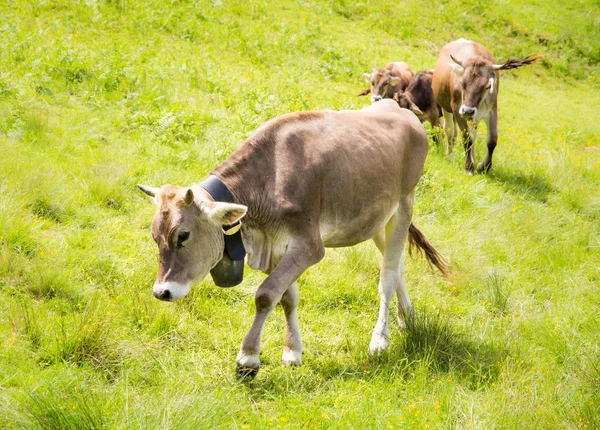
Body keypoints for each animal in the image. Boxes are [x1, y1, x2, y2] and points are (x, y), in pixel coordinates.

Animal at [137, 99, 446, 378]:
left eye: (183, 235)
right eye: (154, 236)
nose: (161, 292)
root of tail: (401, 109)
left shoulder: (309, 246)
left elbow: (265, 294)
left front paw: (248, 358)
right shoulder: (276, 246)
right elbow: (287, 298)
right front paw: (292, 352)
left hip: (404, 204)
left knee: (388, 275)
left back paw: (380, 340)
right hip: (378, 221)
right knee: (399, 266)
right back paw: (407, 318)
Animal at [432, 38, 540, 173]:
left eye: (487, 86)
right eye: (462, 83)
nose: (468, 111)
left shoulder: (492, 110)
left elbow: (492, 140)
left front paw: (483, 166)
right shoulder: (457, 109)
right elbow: (466, 138)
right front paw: (469, 167)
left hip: (474, 117)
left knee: (472, 134)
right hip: (446, 107)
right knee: (450, 131)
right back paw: (450, 156)